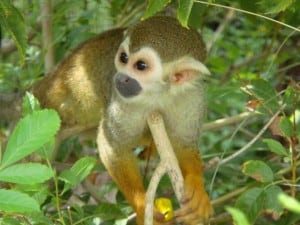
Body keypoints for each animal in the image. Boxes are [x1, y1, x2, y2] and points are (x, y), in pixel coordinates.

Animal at [32, 16, 211, 225]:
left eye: (141, 66)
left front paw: (197, 188)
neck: (161, 92)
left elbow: (184, 144)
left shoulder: (193, 96)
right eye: (123, 58)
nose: (121, 78)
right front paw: (142, 204)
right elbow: (113, 146)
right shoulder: (122, 100)